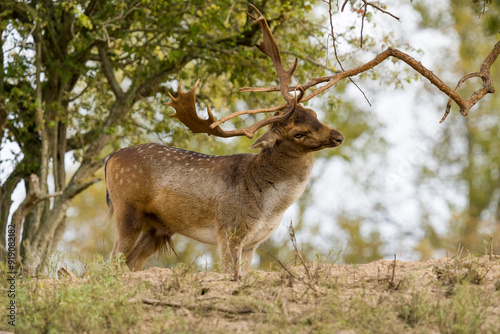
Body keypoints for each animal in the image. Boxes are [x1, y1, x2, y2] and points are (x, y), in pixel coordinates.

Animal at [105, 5, 344, 280]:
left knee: (130, 263)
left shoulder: (253, 242)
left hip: (158, 226)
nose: (338, 136)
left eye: (314, 113)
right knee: (111, 261)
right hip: (127, 208)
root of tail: (110, 159)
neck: (269, 209)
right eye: (298, 134)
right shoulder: (229, 229)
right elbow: (232, 274)